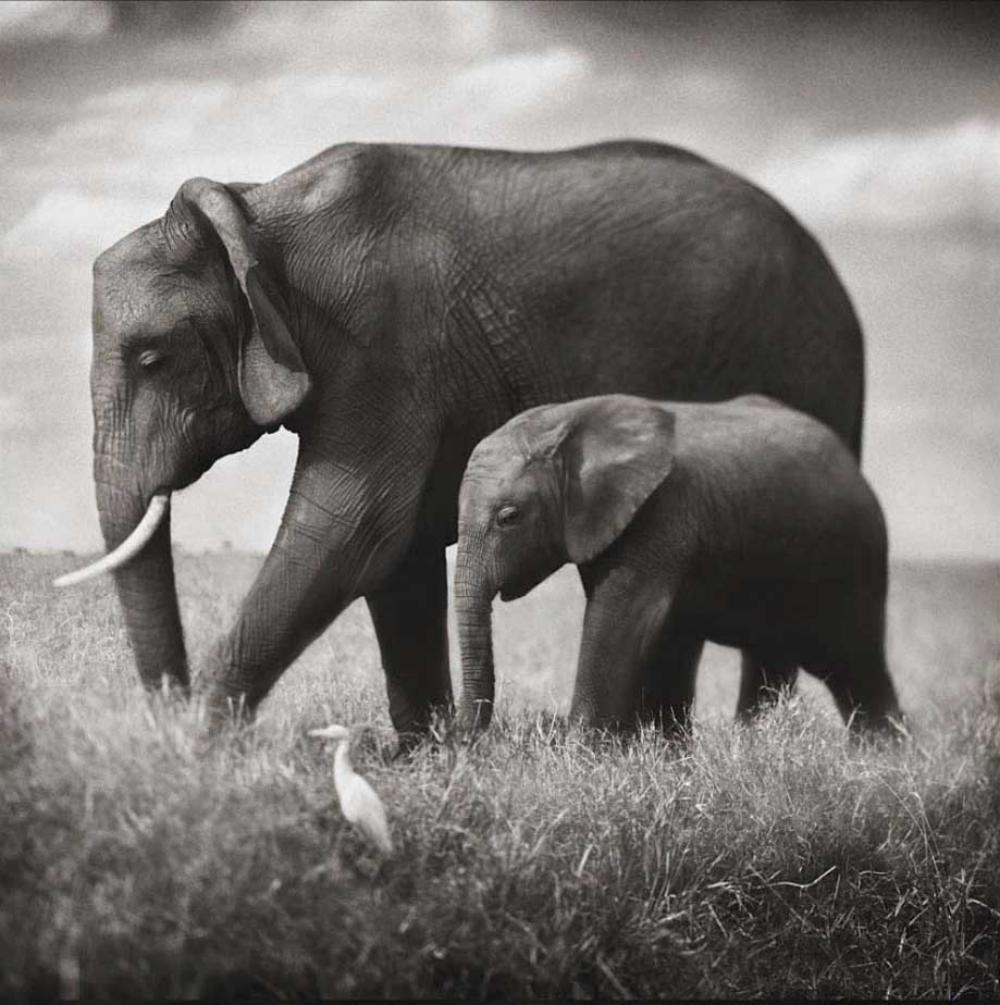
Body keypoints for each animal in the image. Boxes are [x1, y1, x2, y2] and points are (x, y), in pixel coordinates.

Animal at [455, 394, 902, 737]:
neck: (569, 418)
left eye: (509, 517)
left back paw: (882, 758)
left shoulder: (661, 512)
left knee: (856, 666)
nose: (469, 743)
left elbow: (620, 621)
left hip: (855, 560)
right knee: (772, 662)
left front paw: (579, 753)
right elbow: (664, 636)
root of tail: (853, 467)